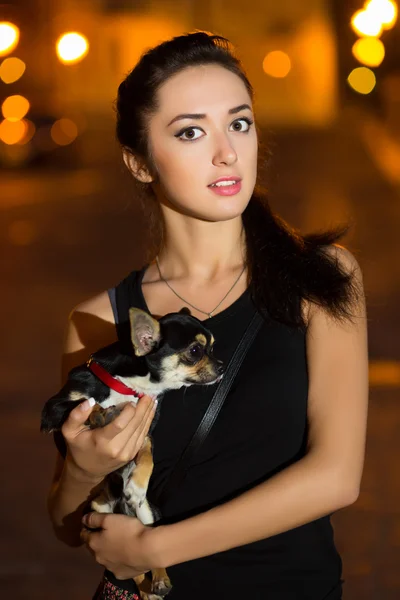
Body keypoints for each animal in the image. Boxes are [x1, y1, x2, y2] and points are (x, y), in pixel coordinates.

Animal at [41, 308, 223, 596]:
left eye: (213, 347)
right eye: (195, 351)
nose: (222, 366)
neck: (130, 386)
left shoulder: (144, 435)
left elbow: (148, 458)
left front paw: (137, 484)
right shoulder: (53, 411)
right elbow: (84, 405)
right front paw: (101, 414)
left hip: (147, 513)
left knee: (147, 548)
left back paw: (159, 581)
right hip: (95, 513)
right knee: (134, 571)